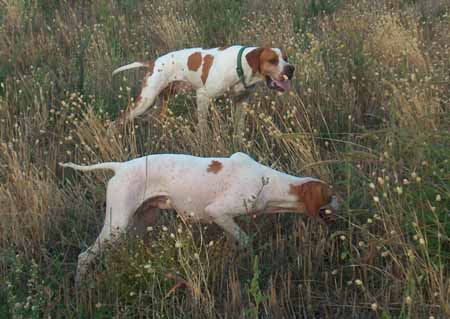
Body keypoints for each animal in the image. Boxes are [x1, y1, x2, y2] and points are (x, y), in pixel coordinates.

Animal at [59, 153, 338, 284]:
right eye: (331, 195)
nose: (342, 202)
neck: (268, 182)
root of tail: (120, 166)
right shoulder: (219, 212)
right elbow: (245, 240)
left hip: (141, 221)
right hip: (117, 225)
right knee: (85, 256)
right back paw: (79, 286)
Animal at [112, 45, 296, 134]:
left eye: (286, 58)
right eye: (272, 60)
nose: (291, 68)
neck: (241, 66)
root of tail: (153, 62)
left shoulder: (241, 101)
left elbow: (239, 128)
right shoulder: (203, 96)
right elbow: (203, 126)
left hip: (163, 99)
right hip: (145, 100)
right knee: (118, 120)